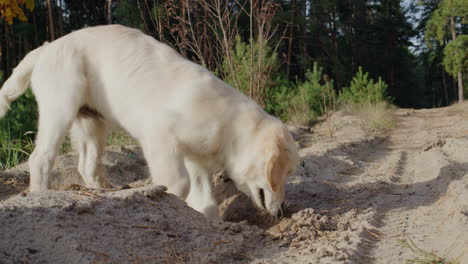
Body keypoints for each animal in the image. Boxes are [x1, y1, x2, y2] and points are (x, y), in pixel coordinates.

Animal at [0, 25, 298, 219]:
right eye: (283, 174)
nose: (283, 210)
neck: (229, 125)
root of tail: (46, 48)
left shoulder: (197, 160)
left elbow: (207, 200)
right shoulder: (160, 138)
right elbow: (178, 183)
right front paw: (170, 203)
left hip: (91, 123)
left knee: (87, 165)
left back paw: (103, 193)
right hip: (60, 107)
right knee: (41, 158)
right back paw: (41, 195)